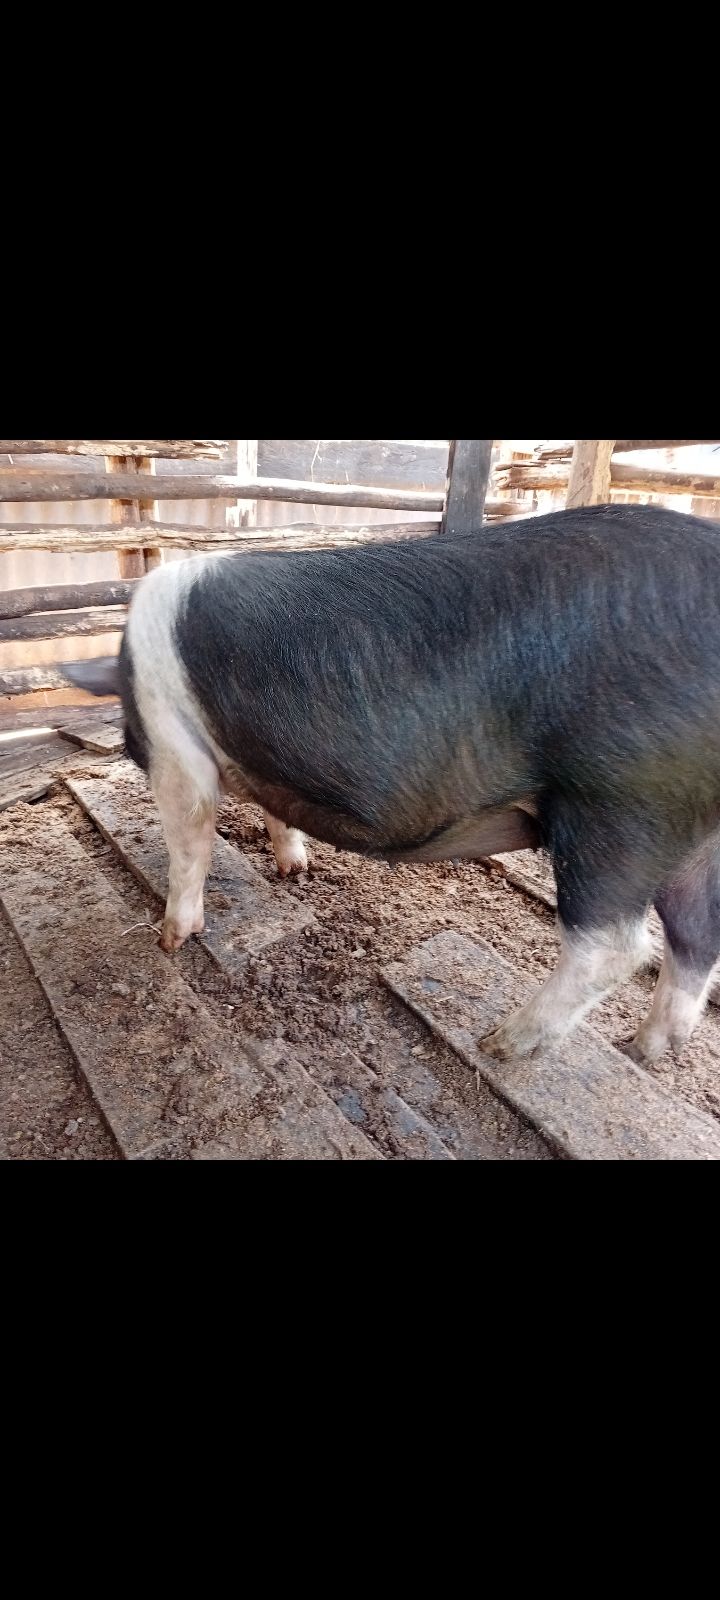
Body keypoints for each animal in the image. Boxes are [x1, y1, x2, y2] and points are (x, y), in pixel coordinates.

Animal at [66, 505, 720, 1066]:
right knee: (695, 932)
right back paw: (644, 1049)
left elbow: (189, 840)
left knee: (615, 945)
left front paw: (170, 941)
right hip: (688, 831)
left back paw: (499, 1044)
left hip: (621, 801)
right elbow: (276, 810)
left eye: (131, 728)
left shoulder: (177, 753)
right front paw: (294, 870)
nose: (129, 744)